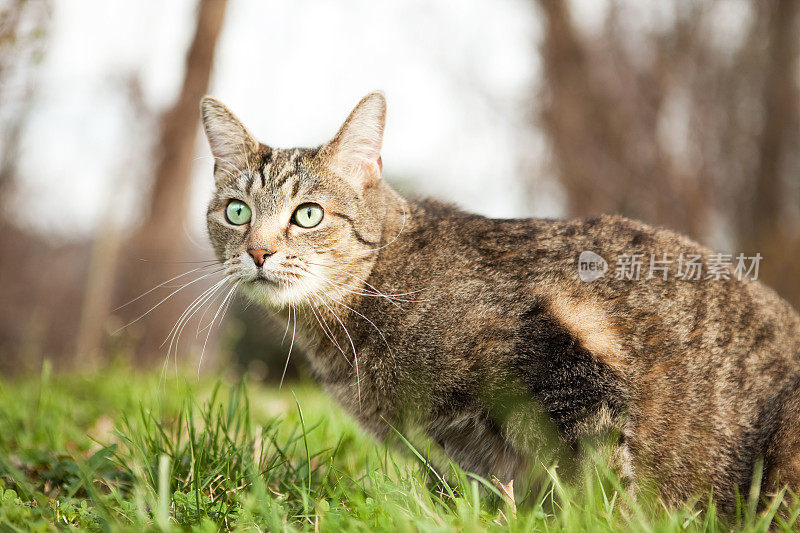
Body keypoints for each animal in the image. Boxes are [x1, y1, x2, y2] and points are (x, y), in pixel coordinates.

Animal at [198, 90, 800, 508]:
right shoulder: (455, 451)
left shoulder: (560, 359)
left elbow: (602, 481)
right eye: (236, 211)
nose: (257, 251)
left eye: (308, 214)